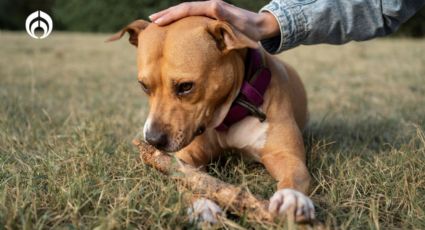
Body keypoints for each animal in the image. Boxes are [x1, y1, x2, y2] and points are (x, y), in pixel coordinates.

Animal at [109, 16, 314, 225]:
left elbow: (294, 175)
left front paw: (292, 199)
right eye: (143, 86)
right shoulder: (186, 156)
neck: (228, 117)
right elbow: (187, 178)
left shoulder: (285, 155)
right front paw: (201, 206)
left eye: (186, 86)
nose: (153, 140)